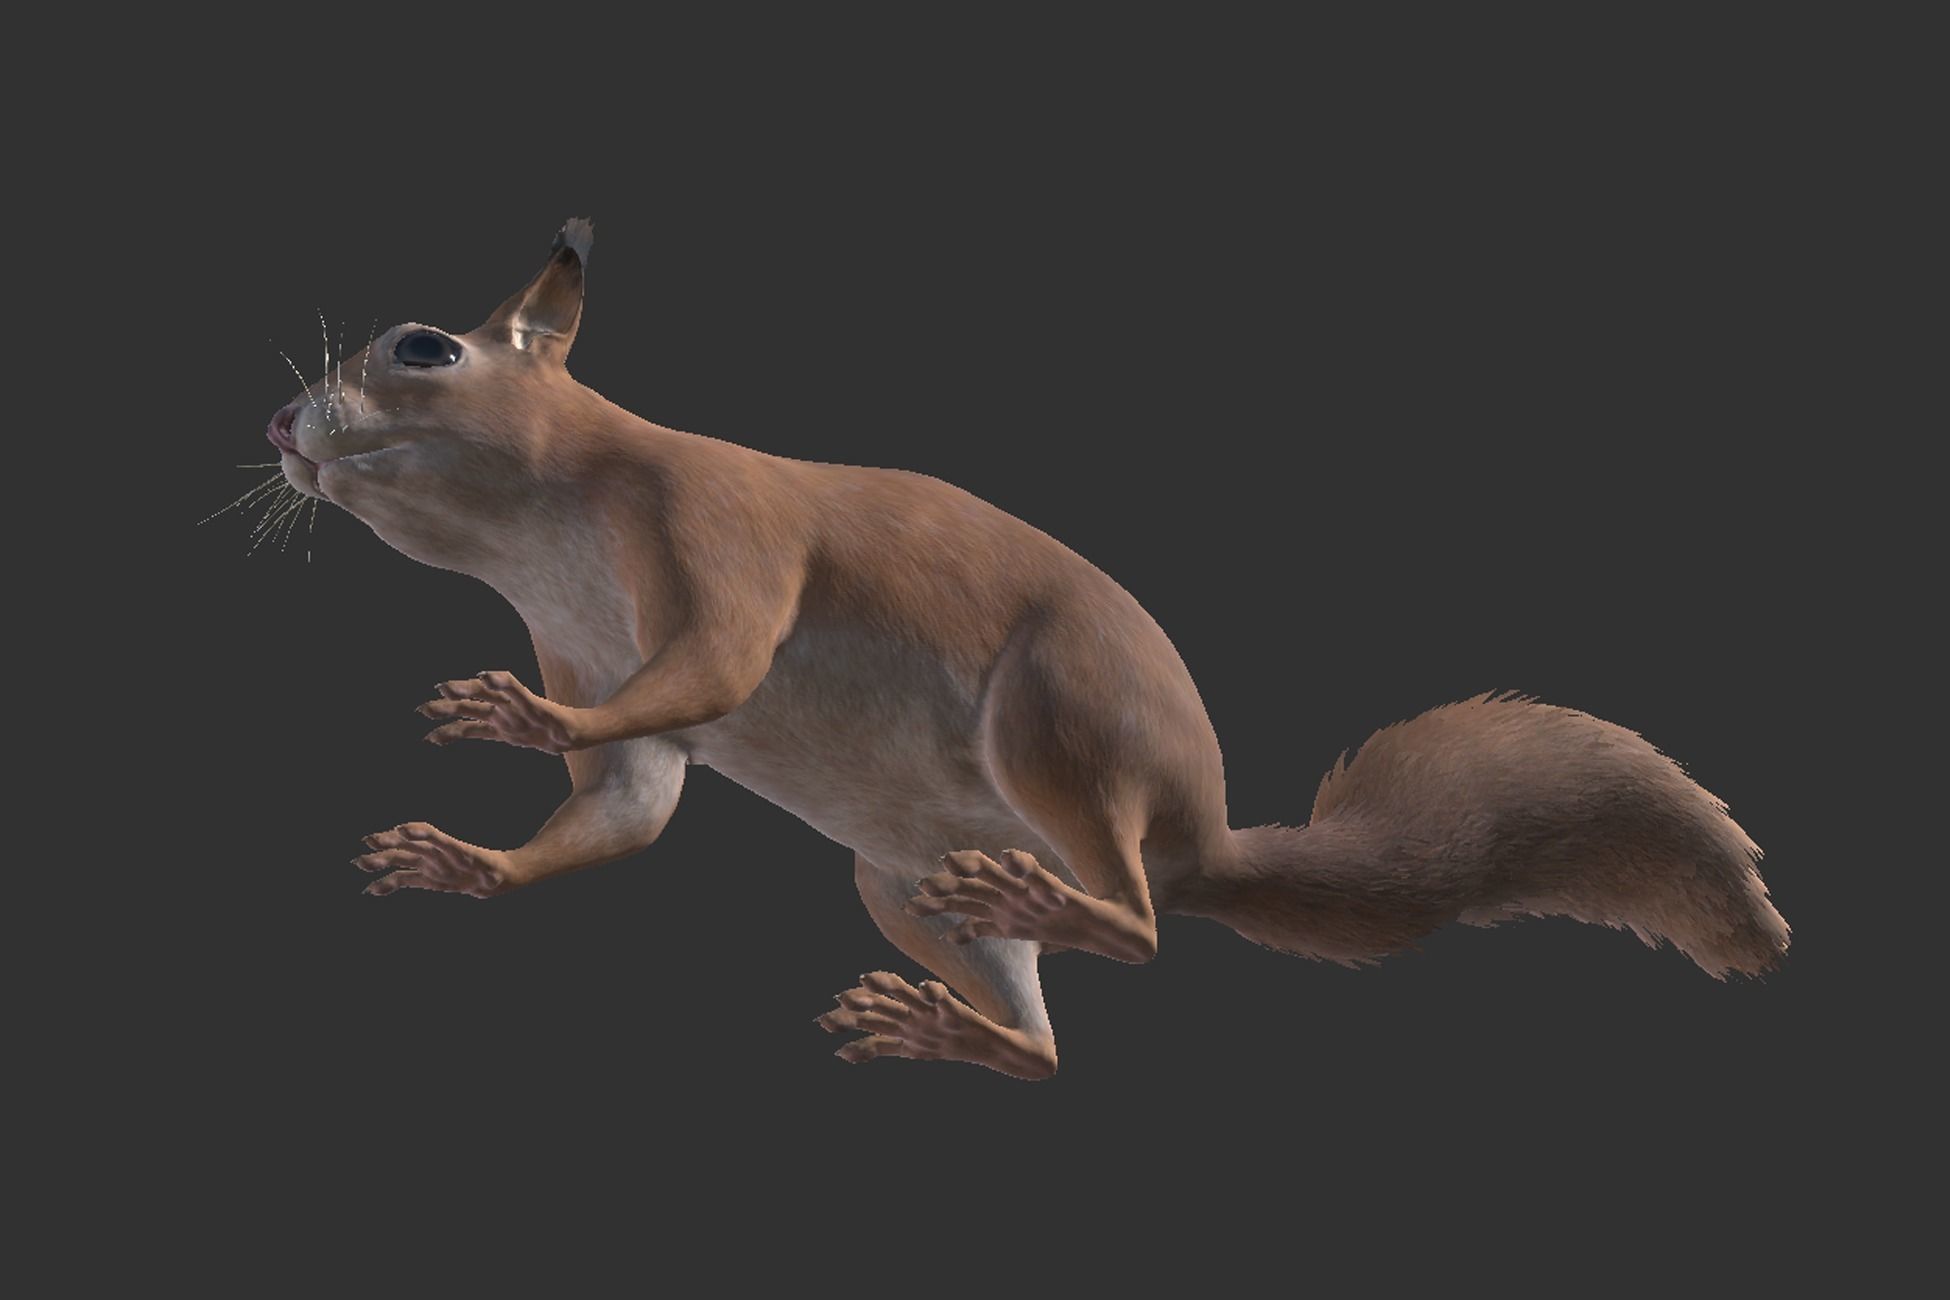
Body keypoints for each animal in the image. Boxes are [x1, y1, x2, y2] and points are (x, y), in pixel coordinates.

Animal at [262, 219, 1788, 1079]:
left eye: (421, 346)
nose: (283, 427)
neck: (543, 538)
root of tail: (1197, 837)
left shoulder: (721, 528)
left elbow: (722, 662)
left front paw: (520, 721)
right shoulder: (584, 639)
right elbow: (629, 804)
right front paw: (463, 860)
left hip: (1060, 726)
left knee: (1143, 931)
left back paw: (1062, 906)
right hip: (900, 883)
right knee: (1050, 1050)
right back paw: (958, 1027)